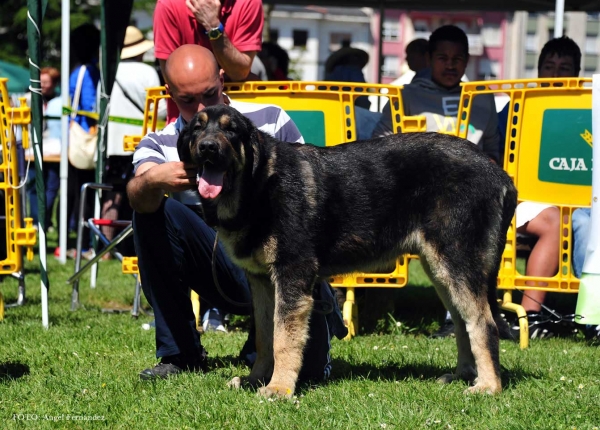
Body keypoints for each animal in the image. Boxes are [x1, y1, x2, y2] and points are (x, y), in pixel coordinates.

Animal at [176, 103, 516, 396]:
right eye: (197, 128)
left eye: (230, 130)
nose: (208, 147)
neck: (258, 183)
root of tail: (499, 174)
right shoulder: (261, 281)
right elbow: (264, 337)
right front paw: (255, 380)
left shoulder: (292, 276)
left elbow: (284, 339)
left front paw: (279, 388)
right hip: (442, 271)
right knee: (462, 322)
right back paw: (463, 375)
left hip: (457, 265)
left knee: (484, 324)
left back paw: (488, 386)